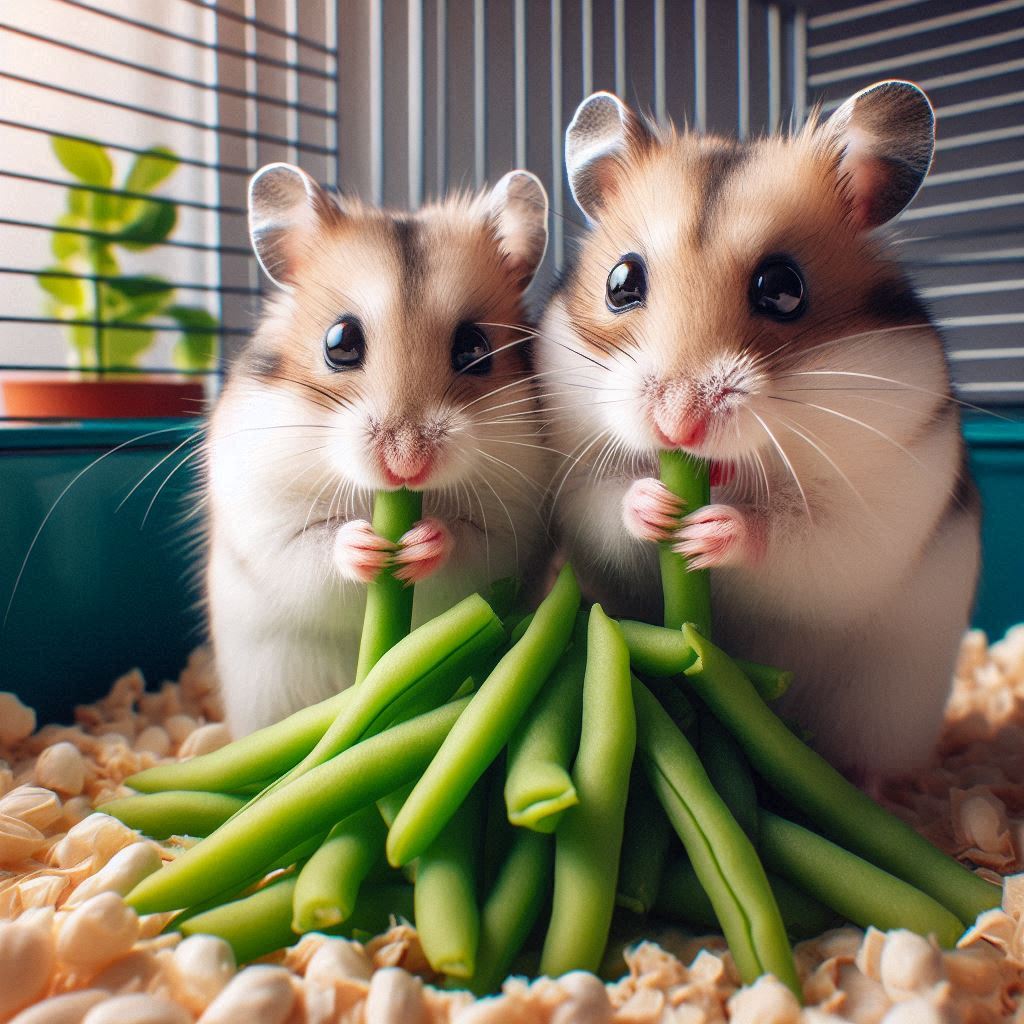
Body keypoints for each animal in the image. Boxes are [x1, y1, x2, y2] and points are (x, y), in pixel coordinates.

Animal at [205, 163, 552, 737]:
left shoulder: (511, 539)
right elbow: (312, 547)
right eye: (340, 341)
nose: (405, 465)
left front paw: (421, 541)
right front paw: (364, 544)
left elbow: (468, 548)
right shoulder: (266, 526)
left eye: (475, 348)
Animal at [540, 81, 978, 782]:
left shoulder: (876, 510)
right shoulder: (574, 483)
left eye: (783, 288)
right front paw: (655, 505)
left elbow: (800, 540)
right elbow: (605, 506)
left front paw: (712, 529)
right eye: (620, 282)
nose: (677, 425)